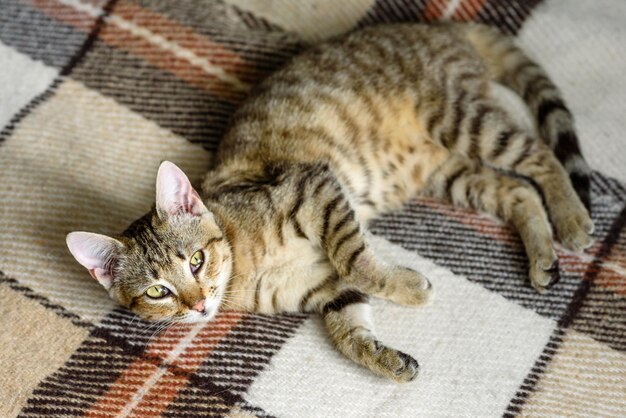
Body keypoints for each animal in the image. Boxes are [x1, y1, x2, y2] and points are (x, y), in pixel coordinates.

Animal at [66, 22, 592, 382]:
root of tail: (438, 26)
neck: (246, 271)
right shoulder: (326, 289)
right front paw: (386, 360)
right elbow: (348, 331)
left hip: (459, 120)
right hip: (449, 172)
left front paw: (410, 287)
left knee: (541, 156)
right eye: (158, 292)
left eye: (196, 260)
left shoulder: (314, 186)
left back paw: (571, 219)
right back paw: (543, 257)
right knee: (517, 189)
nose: (198, 305)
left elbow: (357, 261)